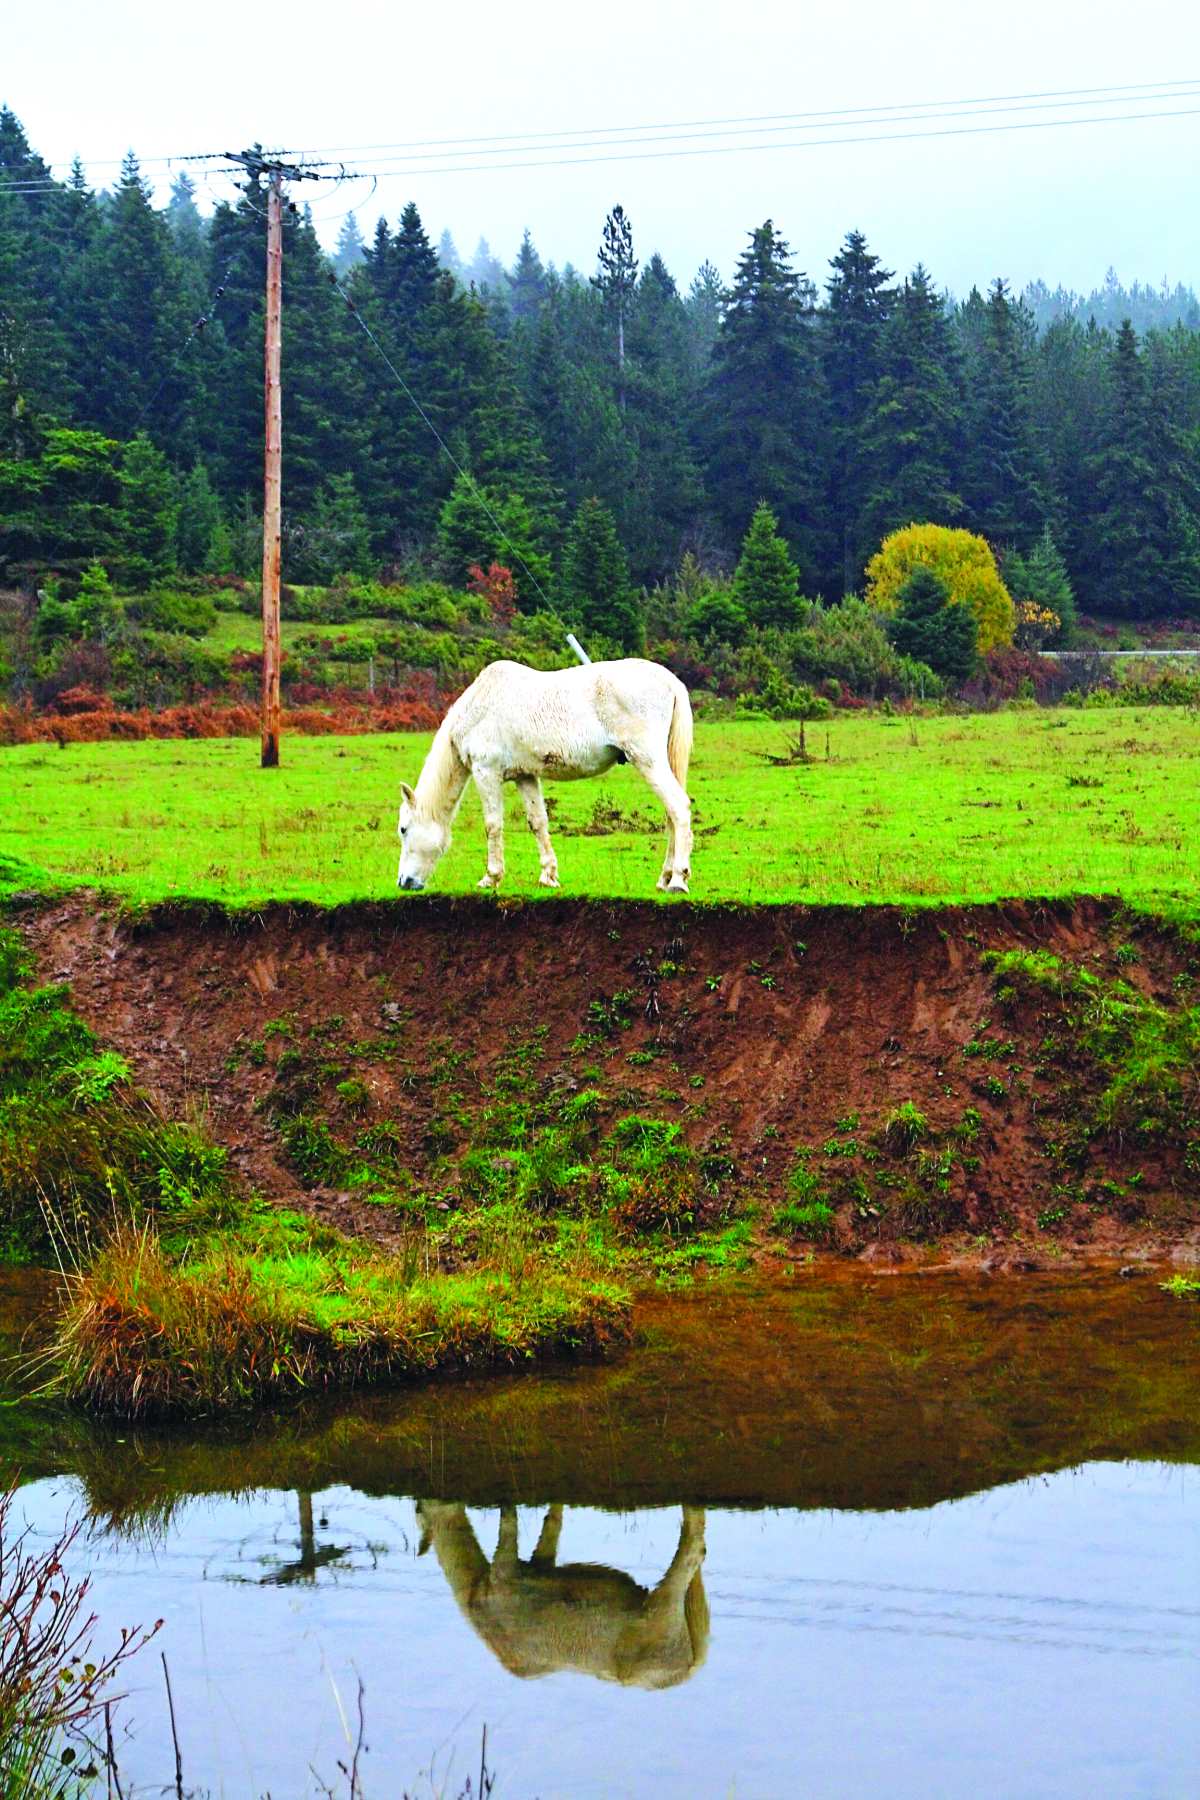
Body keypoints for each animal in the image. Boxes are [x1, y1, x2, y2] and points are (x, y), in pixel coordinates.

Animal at [395, 655, 694, 892]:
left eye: (403, 829)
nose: (404, 883)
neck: (479, 707)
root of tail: (671, 681)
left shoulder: (485, 772)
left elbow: (493, 825)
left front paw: (491, 878)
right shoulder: (525, 776)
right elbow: (538, 822)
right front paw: (548, 876)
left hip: (647, 760)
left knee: (678, 808)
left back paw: (678, 880)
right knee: (671, 814)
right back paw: (665, 878)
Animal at [417, 1504, 708, 1684]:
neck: (476, 1591)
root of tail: (690, 1668)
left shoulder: (504, 1572)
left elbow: (508, 1522)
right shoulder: (540, 1564)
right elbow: (552, 1522)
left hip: (662, 1611)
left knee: (694, 1548)